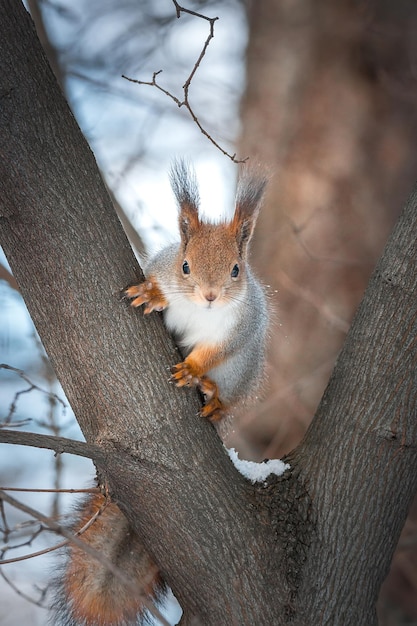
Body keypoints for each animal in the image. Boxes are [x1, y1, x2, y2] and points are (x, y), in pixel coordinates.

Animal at [51, 162, 270, 624]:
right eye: (184, 266)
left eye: (236, 270)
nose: (210, 296)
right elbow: (157, 287)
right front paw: (151, 293)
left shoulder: (238, 330)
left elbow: (214, 351)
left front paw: (192, 369)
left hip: (242, 373)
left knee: (226, 393)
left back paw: (212, 395)